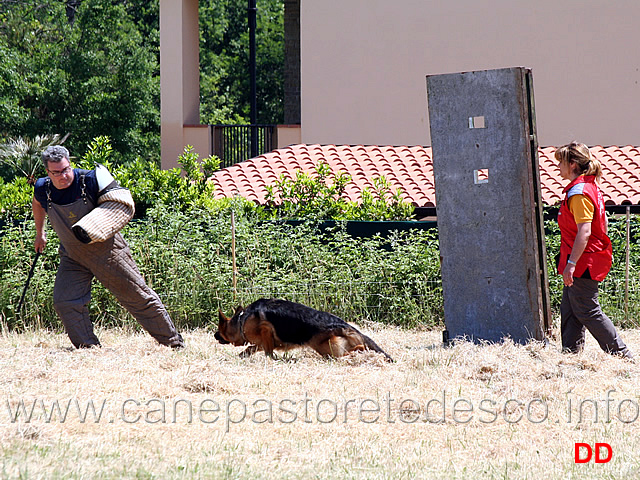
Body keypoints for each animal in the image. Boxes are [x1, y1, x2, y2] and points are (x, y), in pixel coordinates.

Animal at [215, 298, 392, 362]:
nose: (214, 335)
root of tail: (344, 325)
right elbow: (251, 349)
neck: (241, 320)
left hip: (326, 349)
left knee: (356, 349)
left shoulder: (265, 330)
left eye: (219, 329)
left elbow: (267, 351)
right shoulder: (262, 341)